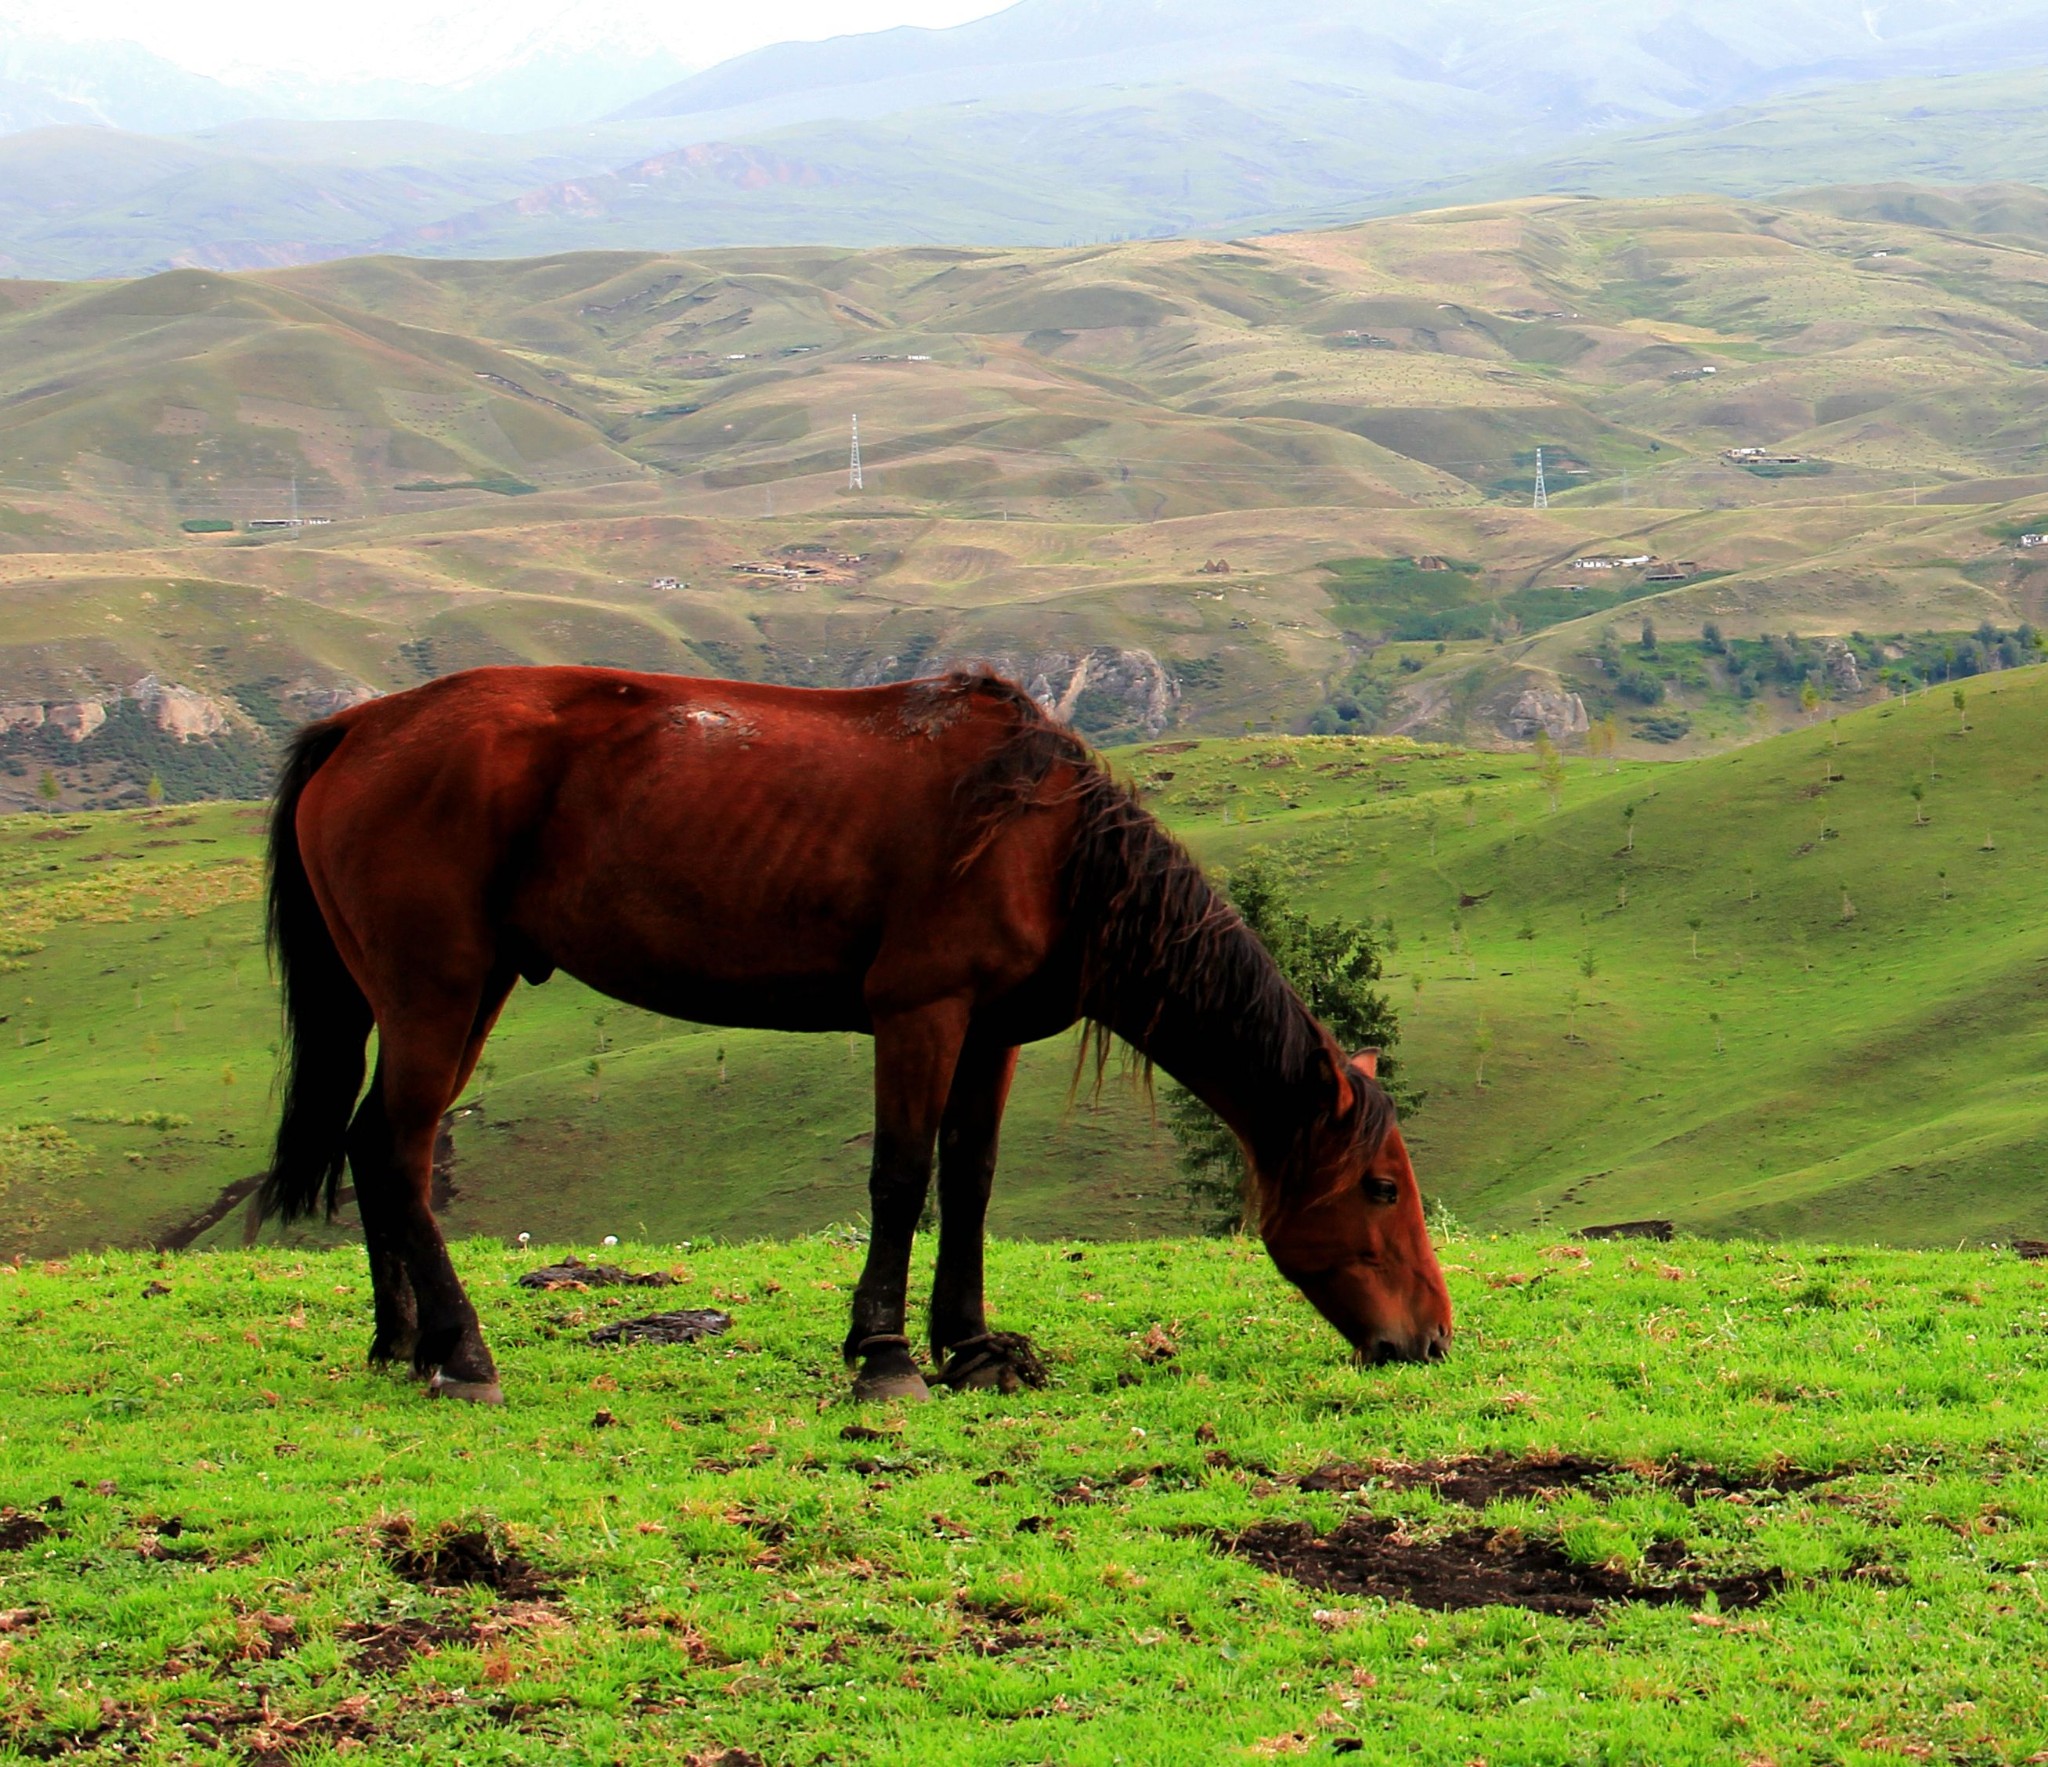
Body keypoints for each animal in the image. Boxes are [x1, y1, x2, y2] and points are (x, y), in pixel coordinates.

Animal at [260, 671, 1458, 1400]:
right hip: (438, 991)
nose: (1433, 1340)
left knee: (372, 1146)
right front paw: (884, 1354)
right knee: (400, 1152)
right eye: (1381, 1190)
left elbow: (968, 1179)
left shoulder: (990, 1031)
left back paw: (400, 1343)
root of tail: (361, 725)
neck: (1051, 846)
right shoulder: (918, 1010)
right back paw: (460, 1351)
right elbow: (899, 1174)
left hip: (463, 991)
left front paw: (971, 1345)